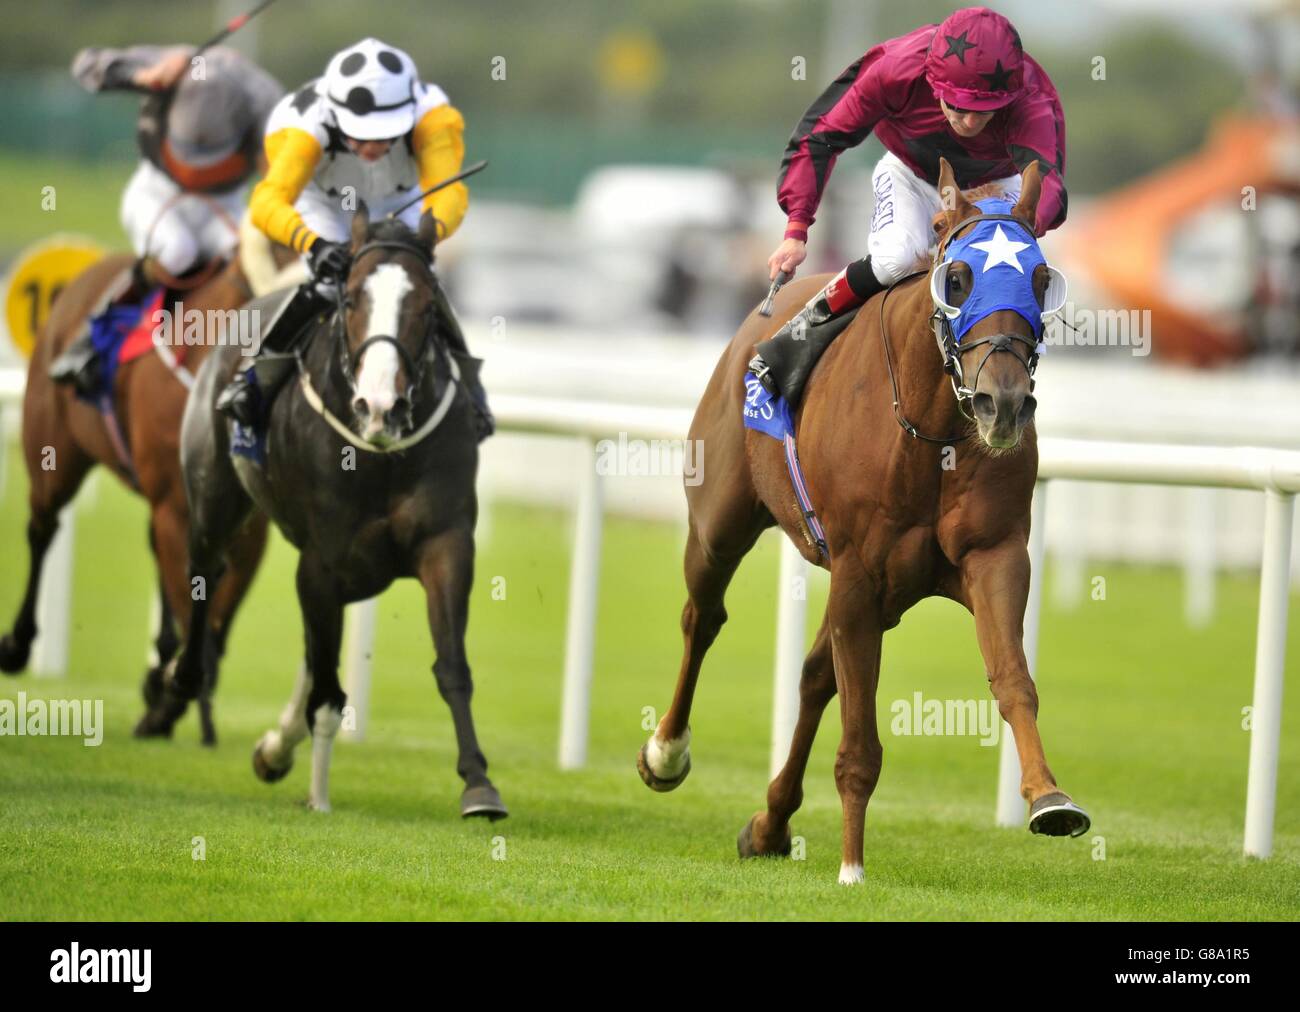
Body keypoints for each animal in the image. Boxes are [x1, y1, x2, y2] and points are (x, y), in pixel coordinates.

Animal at [1, 252, 276, 738]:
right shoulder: (173, 504)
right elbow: (196, 602)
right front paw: (173, 704)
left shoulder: (246, 523)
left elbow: (215, 616)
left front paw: (170, 694)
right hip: (53, 456)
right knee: (42, 530)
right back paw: (17, 643)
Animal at [144, 209, 504, 816]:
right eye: (352, 298)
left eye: (428, 305)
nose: (380, 406)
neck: (381, 455)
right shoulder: (321, 563)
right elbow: (328, 689)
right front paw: (318, 796)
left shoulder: (445, 543)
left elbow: (451, 665)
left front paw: (479, 783)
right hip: (213, 495)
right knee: (205, 572)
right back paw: (185, 678)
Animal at [637, 157, 1086, 884]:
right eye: (957, 280)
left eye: (1042, 281)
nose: (1004, 404)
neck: (933, 431)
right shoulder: (857, 570)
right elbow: (859, 740)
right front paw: (852, 866)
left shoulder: (991, 556)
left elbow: (1014, 680)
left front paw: (1049, 799)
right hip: (720, 524)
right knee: (702, 618)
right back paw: (667, 753)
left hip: (887, 594)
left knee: (815, 674)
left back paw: (770, 823)